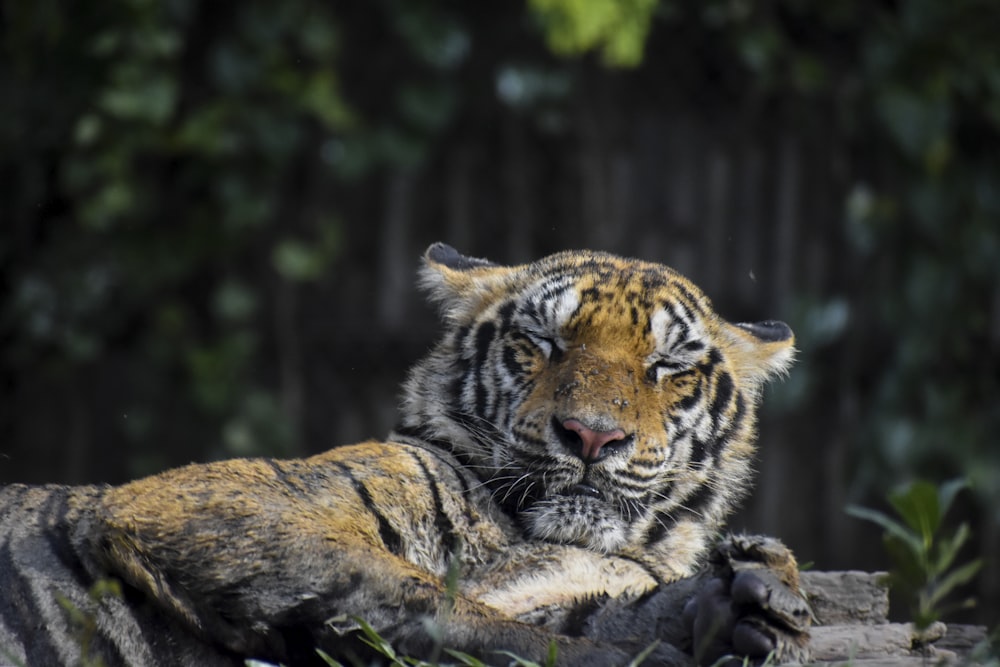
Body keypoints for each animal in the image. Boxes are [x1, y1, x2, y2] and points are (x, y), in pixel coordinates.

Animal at [0, 245, 808, 667]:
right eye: (542, 342)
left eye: (667, 367)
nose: (590, 435)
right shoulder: (201, 502)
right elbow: (424, 593)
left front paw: (735, 606)